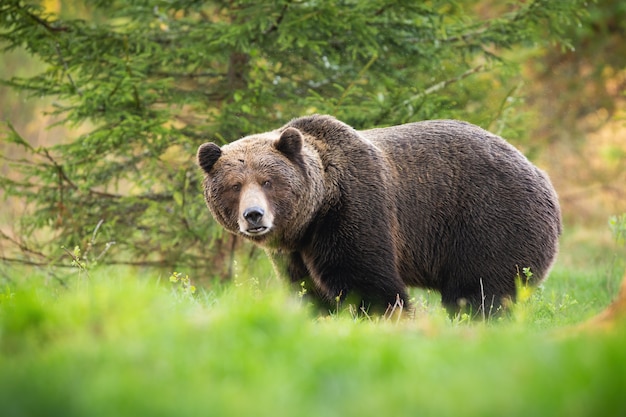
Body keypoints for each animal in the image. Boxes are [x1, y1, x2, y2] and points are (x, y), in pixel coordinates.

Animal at [196, 114, 560, 316]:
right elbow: (308, 291)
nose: (254, 215)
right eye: (234, 185)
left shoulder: (354, 210)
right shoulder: (295, 252)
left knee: (480, 292)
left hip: (489, 221)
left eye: (268, 181)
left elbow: (367, 284)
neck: (313, 216)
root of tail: (540, 173)